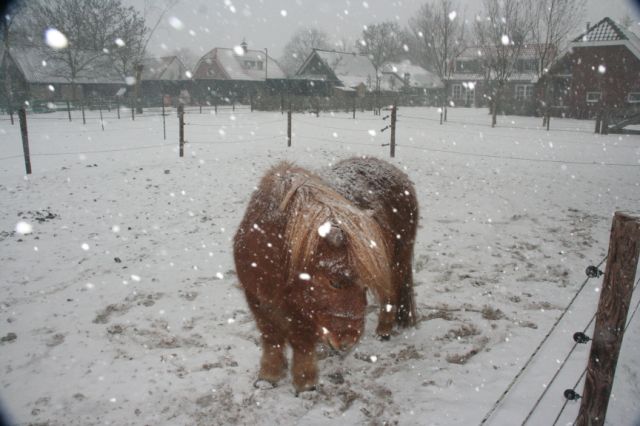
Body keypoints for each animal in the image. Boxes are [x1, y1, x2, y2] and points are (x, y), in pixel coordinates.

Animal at [232, 157, 418, 392]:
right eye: (334, 282)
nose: (348, 340)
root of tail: (396, 172)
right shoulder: (257, 300)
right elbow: (271, 337)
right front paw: (268, 377)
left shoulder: (302, 310)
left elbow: (301, 342)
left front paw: (305, 384)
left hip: (396, 262)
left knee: (390, 295)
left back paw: (384, 331)